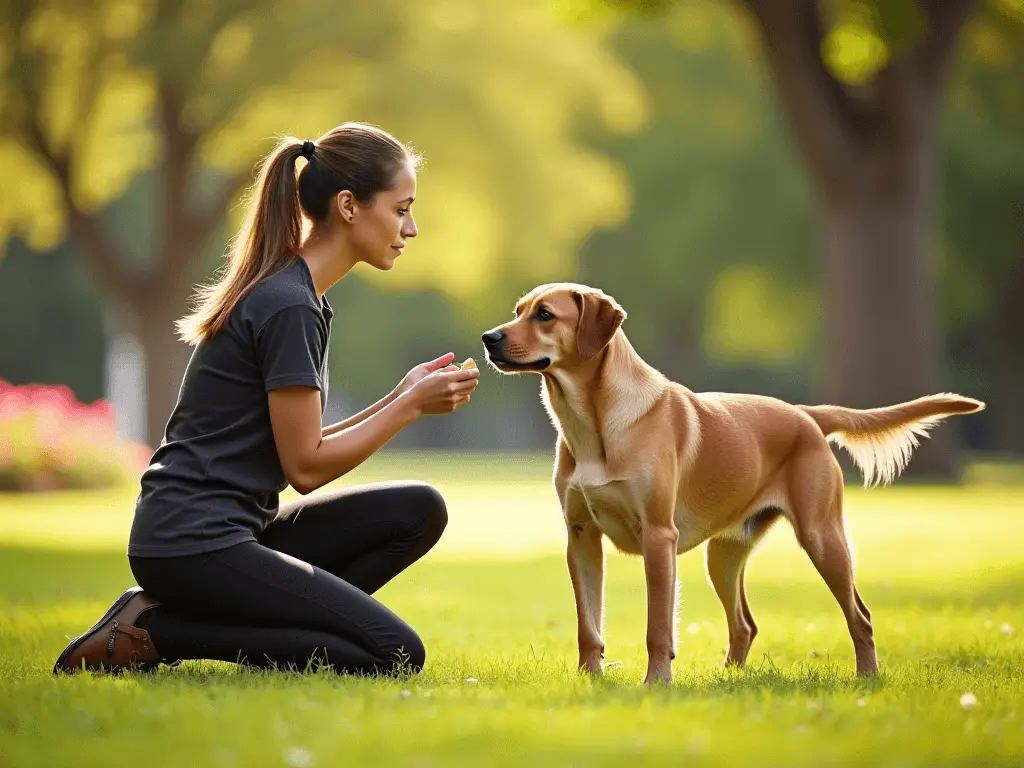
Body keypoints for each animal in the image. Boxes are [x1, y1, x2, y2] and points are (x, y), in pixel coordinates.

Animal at [483, 282, 987, 684]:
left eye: (545, 314)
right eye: (518, 310)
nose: (489, 338)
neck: (595, 425)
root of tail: (806, 414)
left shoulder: (658, 537)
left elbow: (657, 627)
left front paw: (656, 683)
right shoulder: (581, 538)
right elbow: (588, 626)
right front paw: (591, 680)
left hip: (822, 538)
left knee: (860, 616)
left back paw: (867, 677)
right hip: (722, 555)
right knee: (745, 624)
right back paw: (727, 680)